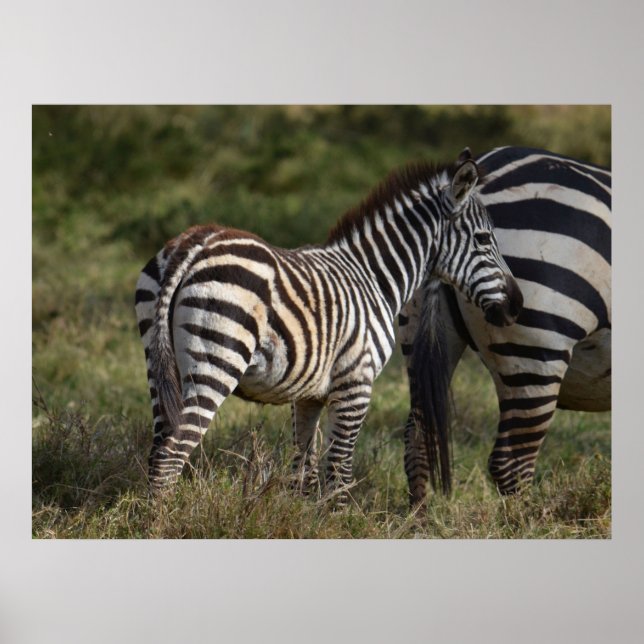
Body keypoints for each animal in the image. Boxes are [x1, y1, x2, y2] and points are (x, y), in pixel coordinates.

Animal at [134, 155, 523, 503]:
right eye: (484, 239)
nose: (517, 305)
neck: (374, 278)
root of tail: (195, 244)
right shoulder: (356, 382)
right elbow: (339, 469)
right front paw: (339, 518)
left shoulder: (309, 395)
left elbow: (302, 467)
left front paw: (298, 517)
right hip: (216, 362)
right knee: (171, 454)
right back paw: (162, 522)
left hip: (158, 364)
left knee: (157, 449)